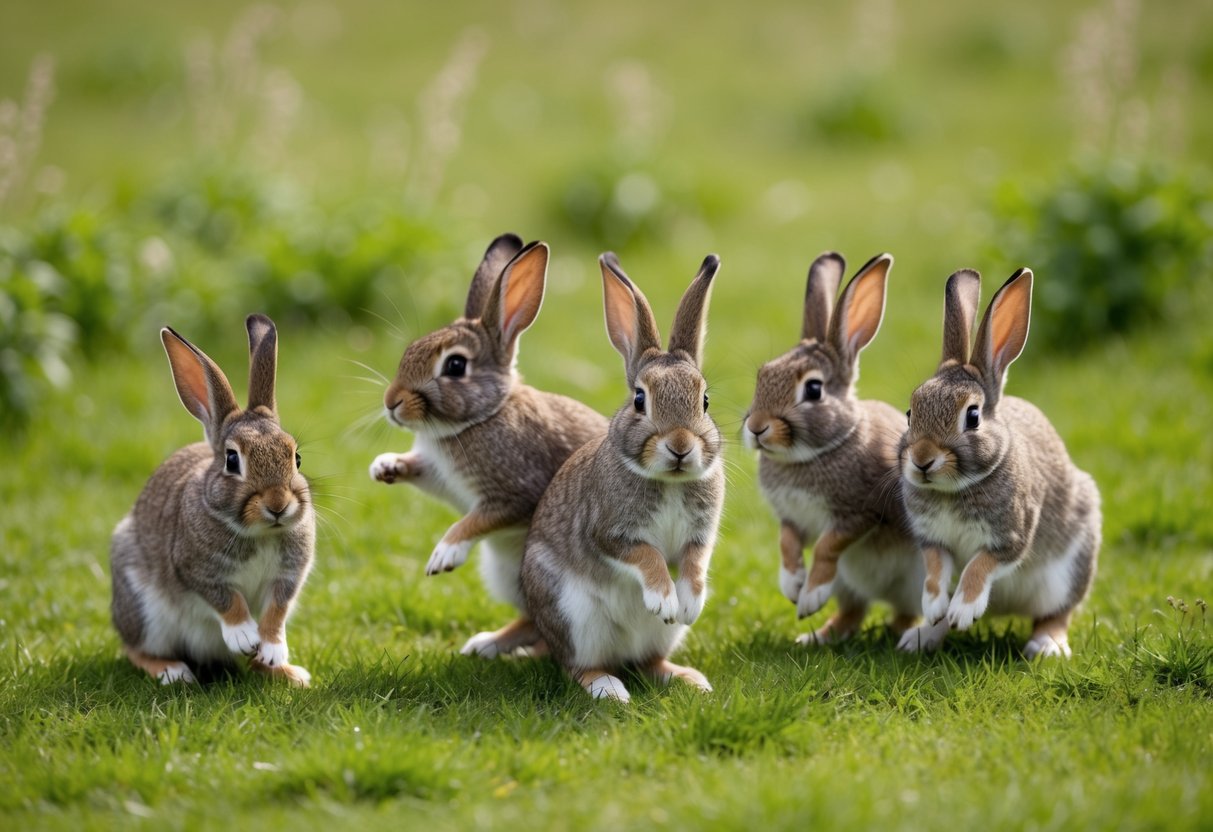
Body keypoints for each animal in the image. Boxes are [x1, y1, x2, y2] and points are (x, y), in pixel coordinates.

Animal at [110, 314, 315, 686]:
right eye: (232, 460)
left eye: (296, 458)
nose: (278, 505)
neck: (260, 532)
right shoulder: (195, 569)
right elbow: (226, 599)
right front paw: (243, 635)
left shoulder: (289, 575)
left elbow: (276, 611)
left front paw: (273, 650)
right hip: (143, 611)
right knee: (136, 649)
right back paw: (173, 671)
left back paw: (288, 673)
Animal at [369, 234, 608, 659]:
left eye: (455, 366)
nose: (391, 402)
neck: (484, 415)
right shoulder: (440, 475)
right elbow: (420, 469)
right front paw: (385, 466)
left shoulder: (515, 493)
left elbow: (475, 521)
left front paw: (443, 555)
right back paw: (486, 644)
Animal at [520, 252, 725, 703]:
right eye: (639, 399)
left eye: (704, 400)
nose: (680, 446)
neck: (669, 481)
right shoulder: (606, 530)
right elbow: (646, 555)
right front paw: (664, 599)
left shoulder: (700, 535)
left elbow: (695, 561)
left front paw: (689, 604)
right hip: (573, 618)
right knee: (579, 666)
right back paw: (609, 689)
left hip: (662, 637)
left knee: (648, 662)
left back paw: (691, 680)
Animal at [743, 252, 949, 650]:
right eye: (762, 376)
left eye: (813, 389)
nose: (757, 427)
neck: (813, 453)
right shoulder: (792, 519)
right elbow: (787, 542)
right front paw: (793, 586)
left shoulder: (859, 513)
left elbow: (827, 546)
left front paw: (809, 596)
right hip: (848, 585)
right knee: (854, 612)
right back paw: (815, 637)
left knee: (908, 614)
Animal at [897, 267, 1101, 658]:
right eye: (910, 413)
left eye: (973, 416)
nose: (922, 461)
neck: (953, 490)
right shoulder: (933, 541)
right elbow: (936, 570)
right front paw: (935, 606)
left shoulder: (1011, 534)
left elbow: (981, 564)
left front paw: (964, 609)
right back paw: (921, 636)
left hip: (1070, 569)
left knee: (1057, 613)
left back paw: (1047, 646)